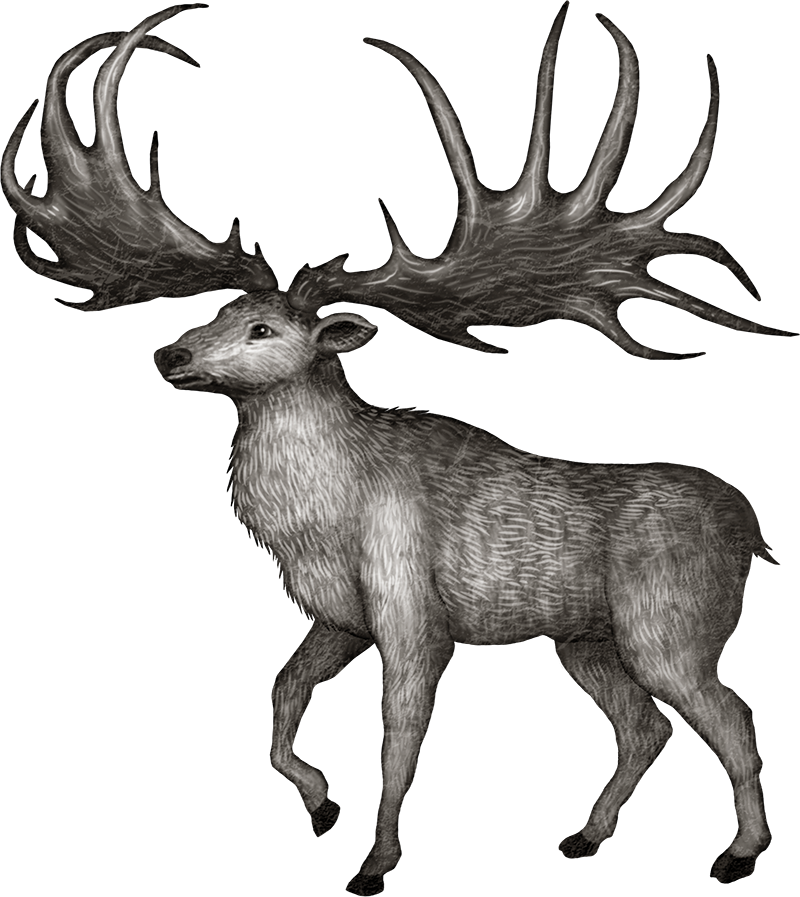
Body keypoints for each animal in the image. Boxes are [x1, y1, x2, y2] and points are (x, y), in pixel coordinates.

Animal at [2, 5, 775, 895]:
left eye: (262, 329)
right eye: (223, 312)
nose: (176, 354)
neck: (318, 522)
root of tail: (747, 530)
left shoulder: (410, 608)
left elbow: (399, 736)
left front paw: (375, 861)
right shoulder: (334, 617)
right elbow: (280, 694)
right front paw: (315, 799)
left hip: (666, 622)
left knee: (728, 711)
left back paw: (740, 849)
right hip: (587, 640)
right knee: (646, 723)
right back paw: (591, 833)